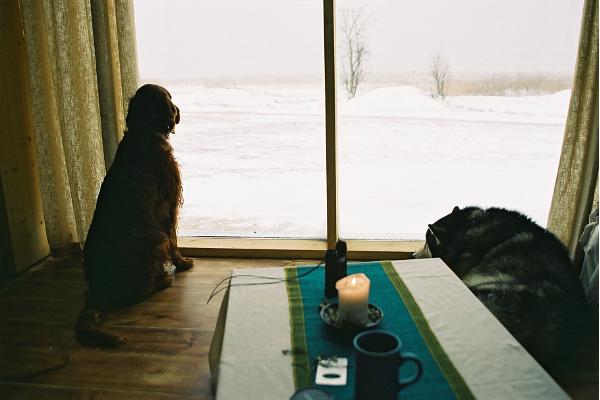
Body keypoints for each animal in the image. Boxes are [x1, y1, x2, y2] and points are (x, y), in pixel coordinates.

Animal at [75, 84, 192, 346]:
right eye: (169, 98)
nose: (179, 110)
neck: (143, 131)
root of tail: (99, 285)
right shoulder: (169, 204)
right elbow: (174, 239)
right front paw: (182, 263)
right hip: (155, 241)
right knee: (138, 293)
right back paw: (162, 280)